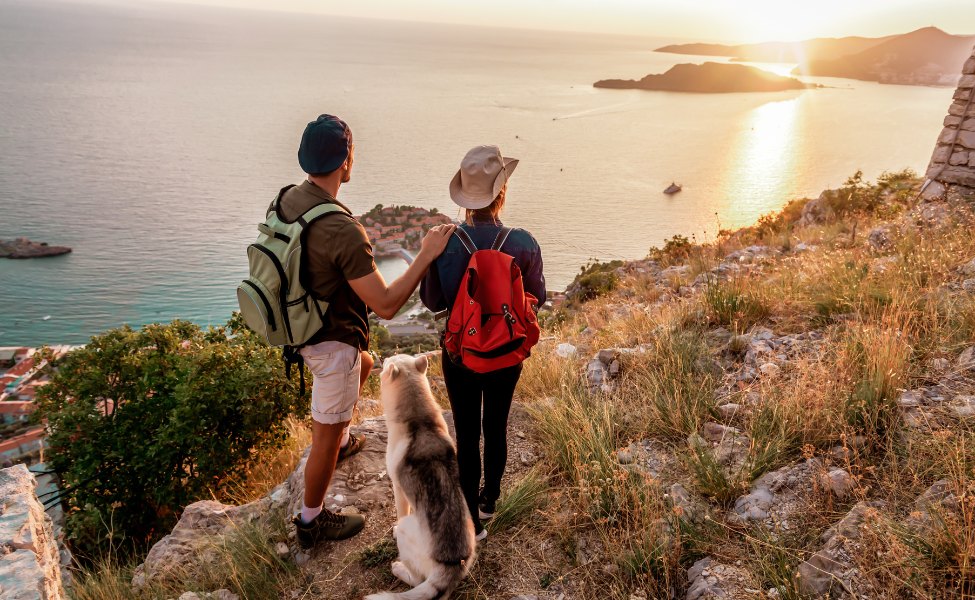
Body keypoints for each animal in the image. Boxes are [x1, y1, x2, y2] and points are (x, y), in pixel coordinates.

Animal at [366, 354, 476, 600]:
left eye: (388, 361)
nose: (381, 358)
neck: (419, 420)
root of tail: (451, 565)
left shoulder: (397, 488)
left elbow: (399, 511)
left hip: (407, 531)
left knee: (416, 579)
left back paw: (398, 568)